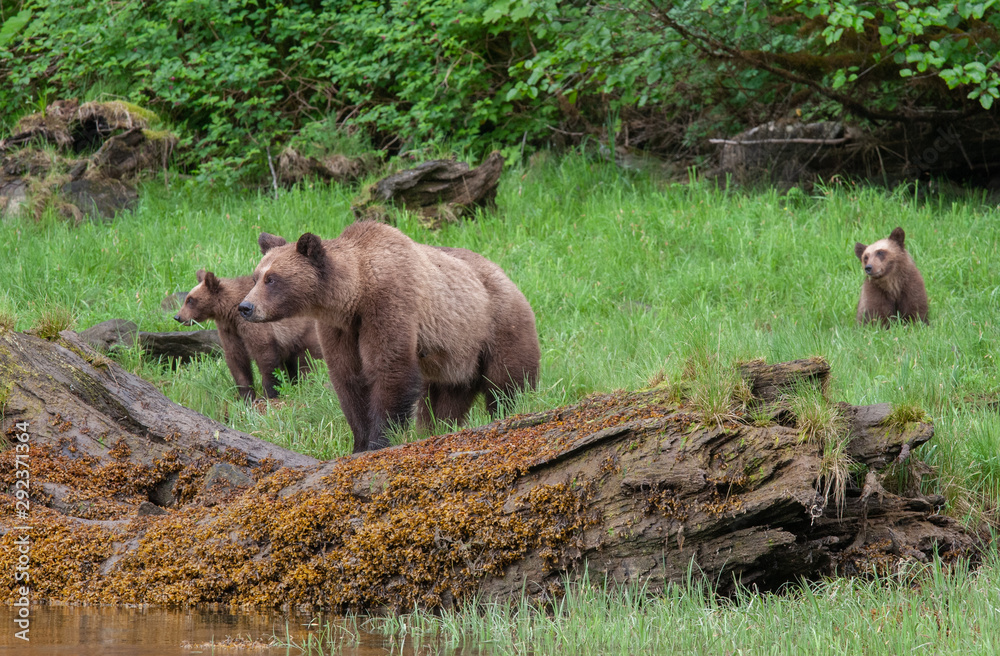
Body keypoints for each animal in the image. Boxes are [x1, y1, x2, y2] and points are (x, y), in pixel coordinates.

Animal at [174, 269, 323, 400]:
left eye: (190, 300)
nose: (178, 316)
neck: (230, 311)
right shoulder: (229, 330)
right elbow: (236, 359)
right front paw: (246, 396)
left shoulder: (252, 324)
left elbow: (264, 355)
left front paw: (268, 394)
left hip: (304, 335)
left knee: (307, 363)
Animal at [237, 221, 541, 453]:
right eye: (255, 277)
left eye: (272, 279)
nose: (245, 307)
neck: (354, 295)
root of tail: (509, 279)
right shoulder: (341, 329)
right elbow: (348, 379)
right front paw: (359, 443)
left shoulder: (389, 303)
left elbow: (389, 369)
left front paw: (379, 441)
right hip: (455, 359)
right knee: (443, 402)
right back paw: (436, 429)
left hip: (495, 326)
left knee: (506, 384)